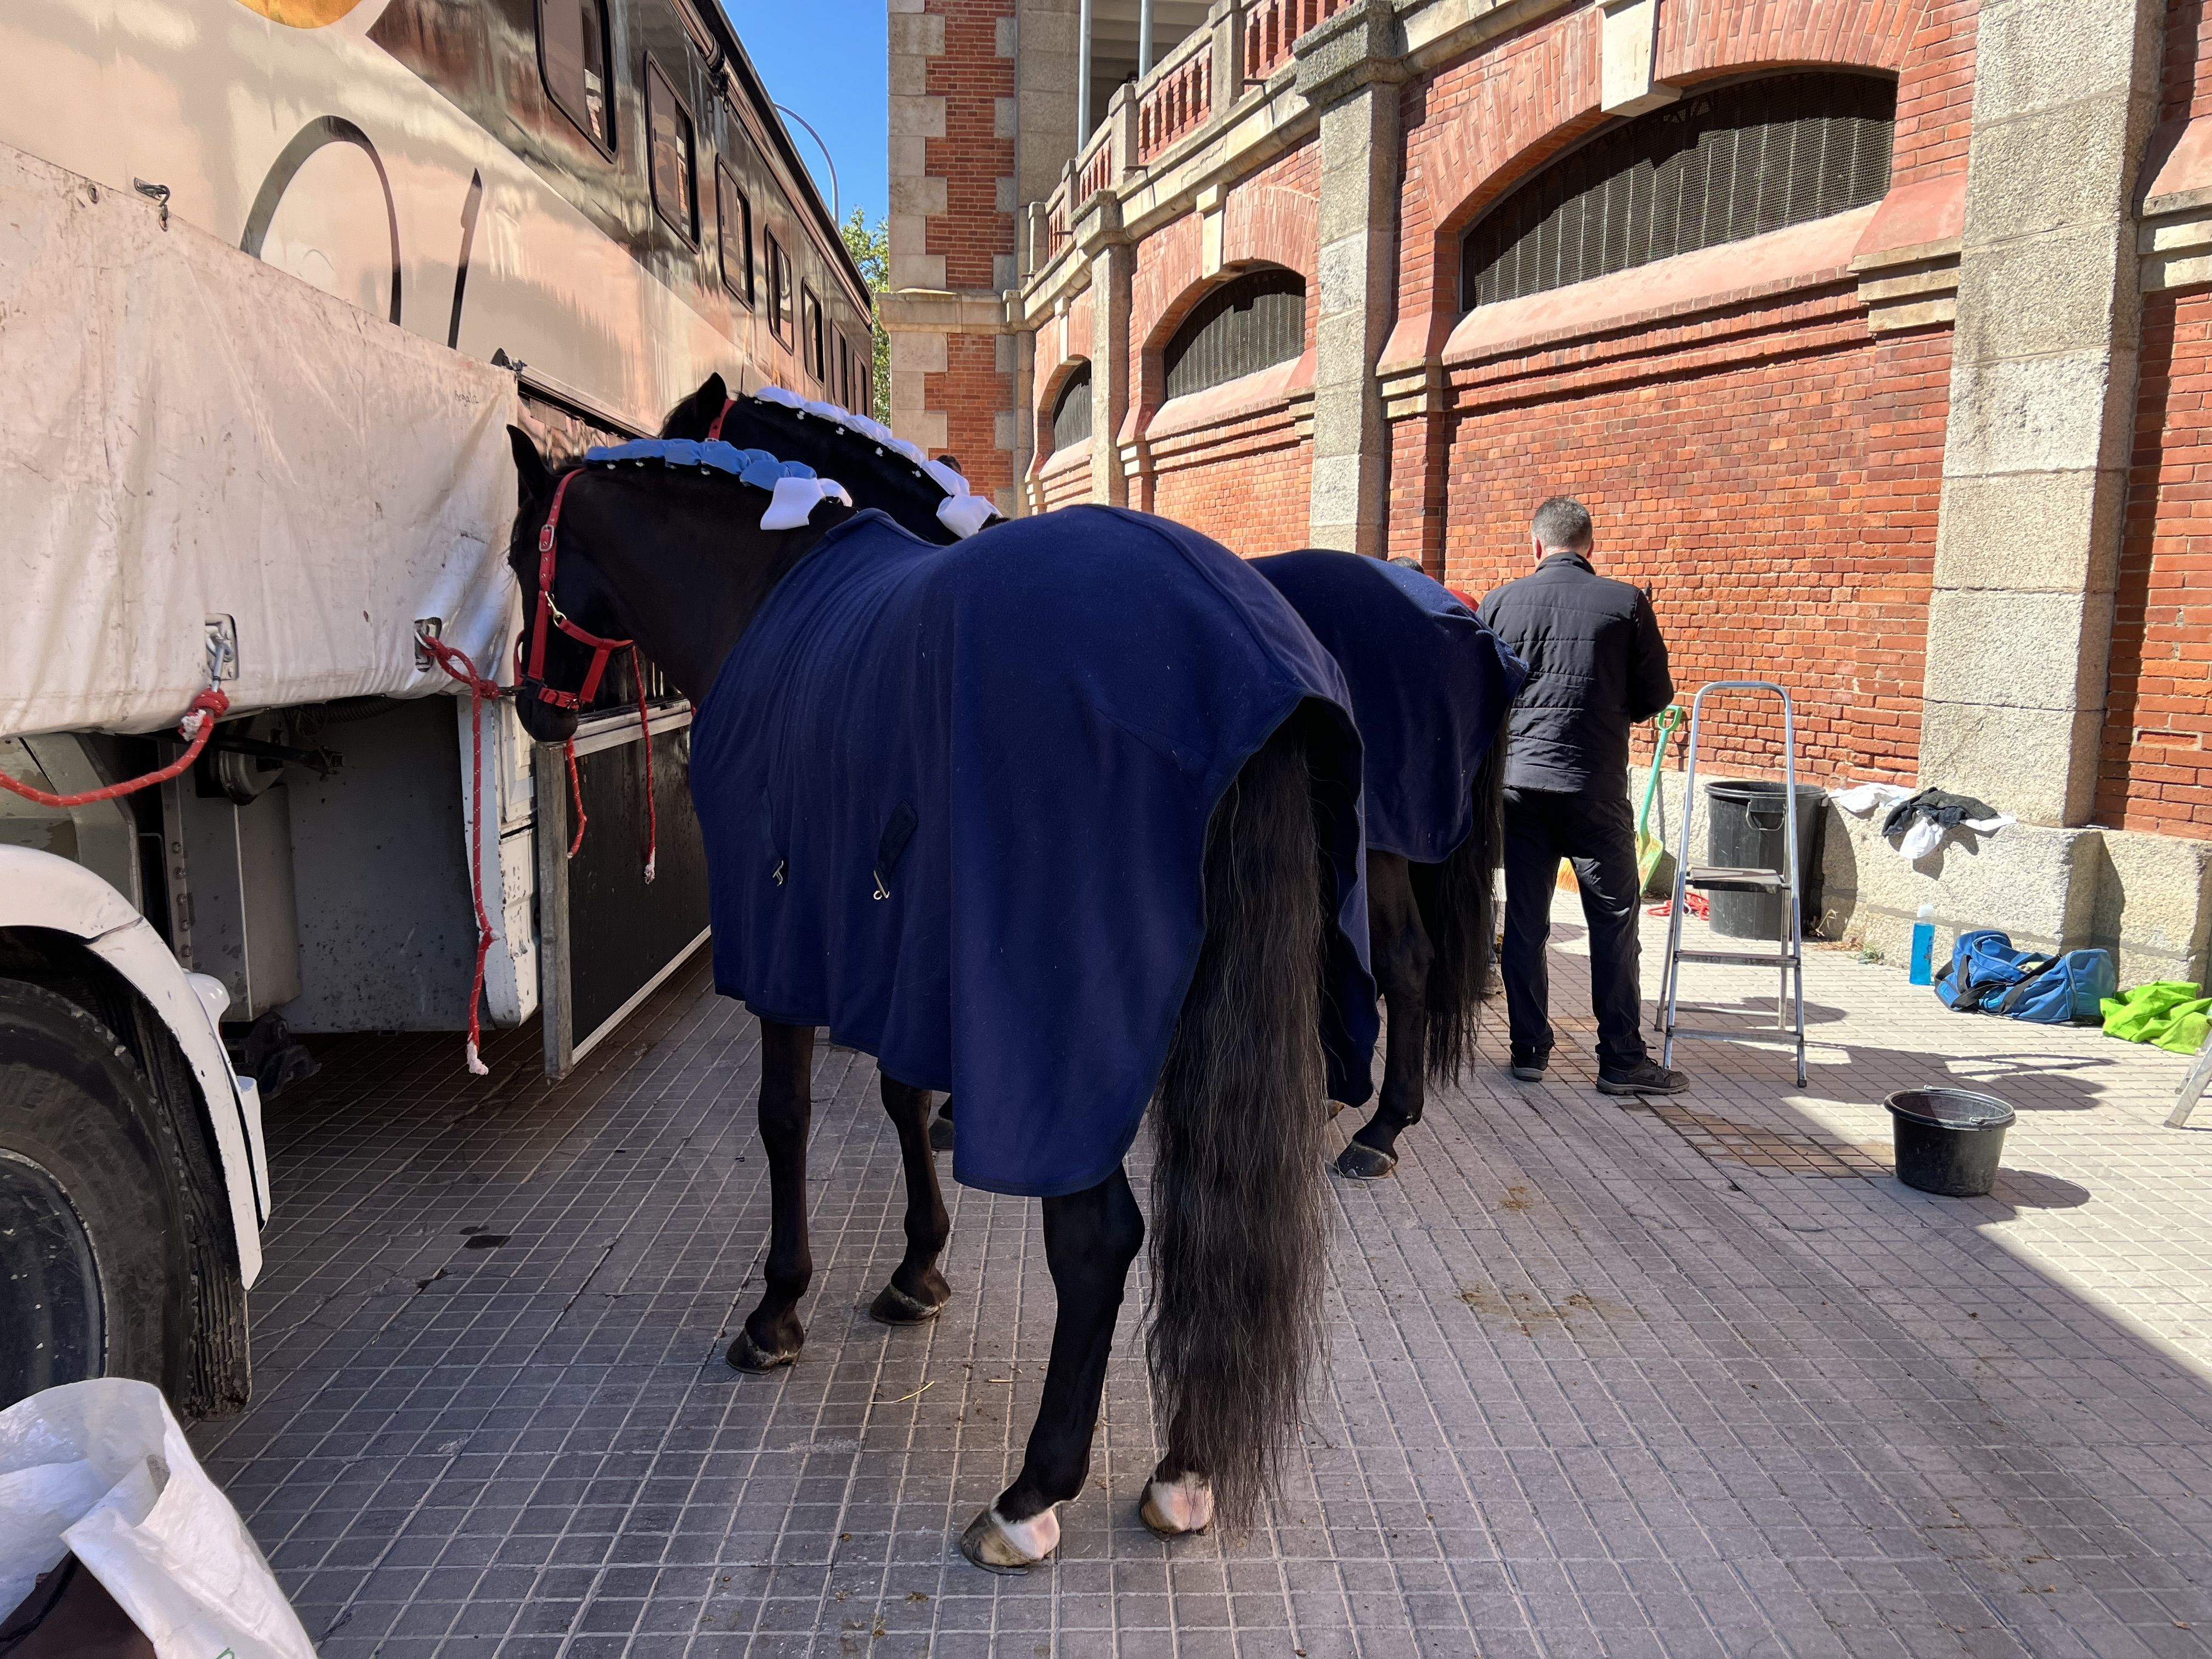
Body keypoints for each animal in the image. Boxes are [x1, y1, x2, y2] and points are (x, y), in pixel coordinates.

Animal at [502, 402, 1371, 1575]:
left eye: (519, 556)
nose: (533, 708)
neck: (765, 584)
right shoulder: (899, 957)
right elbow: (902, 1099)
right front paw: (917, 1269)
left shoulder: (789, 944)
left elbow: (785, 1117)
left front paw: (778, 1310)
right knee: (1215, 1219)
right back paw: (1182, 1471)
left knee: (1099, 1241)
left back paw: (1030, 1492)